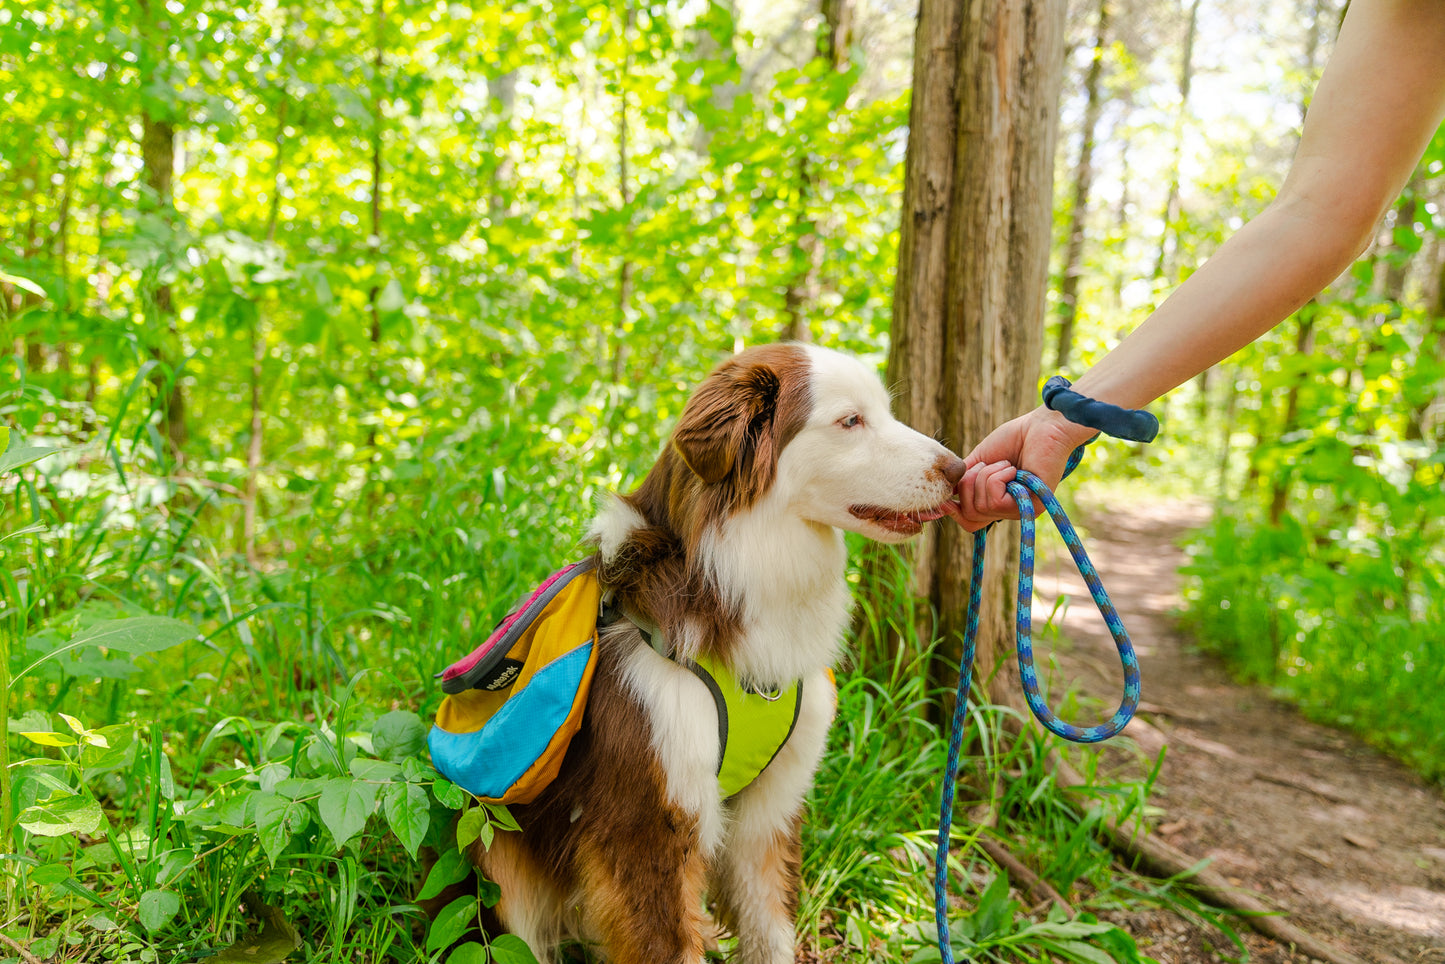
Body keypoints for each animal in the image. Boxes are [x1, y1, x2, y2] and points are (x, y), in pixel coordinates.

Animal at [456, 346, 965, 964]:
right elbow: (668, 941)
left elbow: (769, 926)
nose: (958, 469)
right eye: (851, 421)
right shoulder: (649, 817)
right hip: (493, 857)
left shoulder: (771, 808)